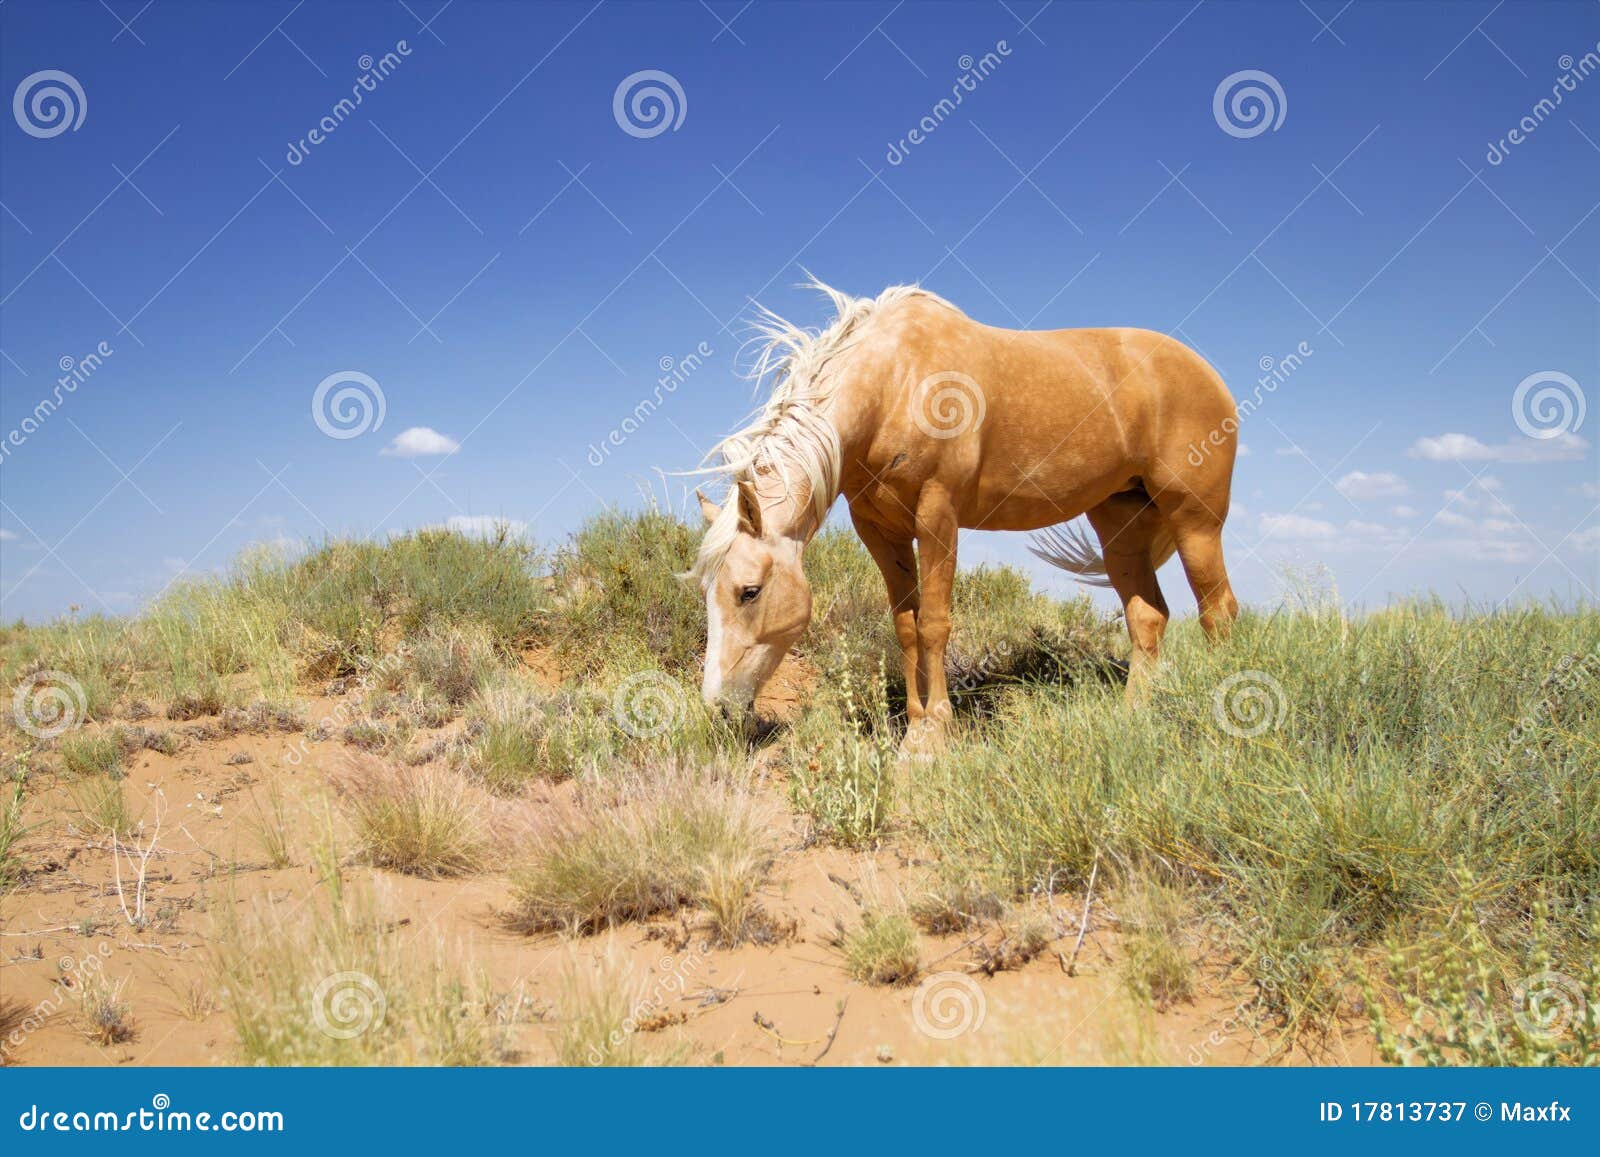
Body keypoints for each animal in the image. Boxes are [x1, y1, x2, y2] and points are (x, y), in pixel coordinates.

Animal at [690, 279, 1240, 749]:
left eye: (749, 592)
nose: (717, 708)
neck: (895, 380)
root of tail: (1208, 374)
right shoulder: (879, 530)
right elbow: (906, 626)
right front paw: (913, 727)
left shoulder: (938, 513)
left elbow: (934, 623)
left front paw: (934, 735)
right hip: (1118, 525)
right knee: (1147, 617)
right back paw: (1133, 716)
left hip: (1195, 520)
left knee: (1219, 611)